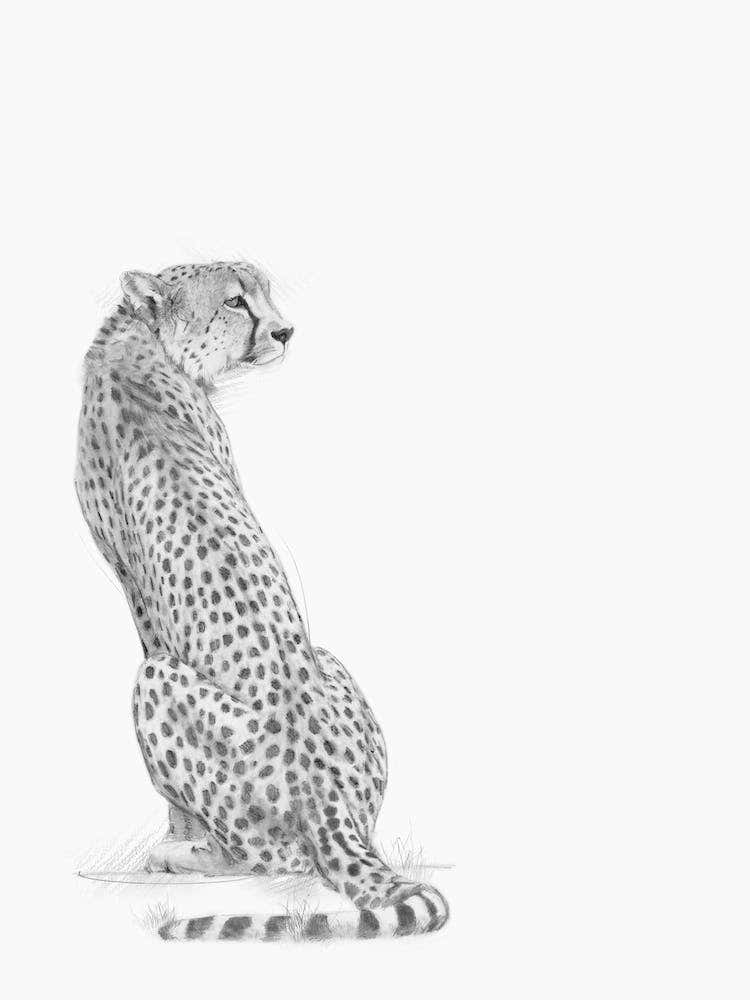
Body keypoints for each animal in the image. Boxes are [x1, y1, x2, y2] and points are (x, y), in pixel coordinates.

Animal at [75, 260, 449, 941]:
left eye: (264, 292)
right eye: (235, 302)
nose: (285, 331)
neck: (139, 341)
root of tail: (332, 805)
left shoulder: (138, 599)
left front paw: (177, 837)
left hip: (157, 678)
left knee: (263, 856)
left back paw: (181, 855)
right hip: (329, 660)